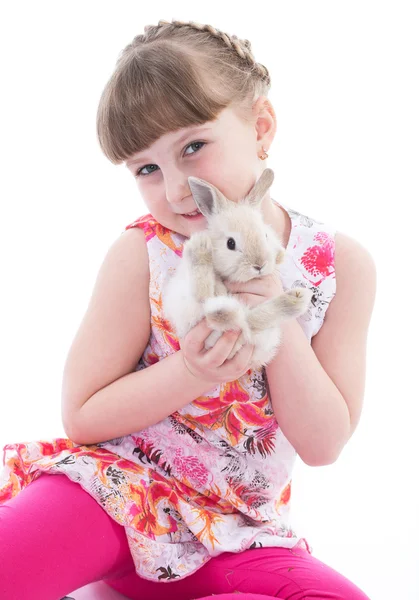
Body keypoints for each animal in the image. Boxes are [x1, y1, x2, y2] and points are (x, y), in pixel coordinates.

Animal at [162, 166, 314, 368]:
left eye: (265, 235)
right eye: (231, 243)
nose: (259, 265)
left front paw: (279, 255)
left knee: (249, 320)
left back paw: (294, 300)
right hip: (187, 304)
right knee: (205, 299)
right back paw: (200, 250)